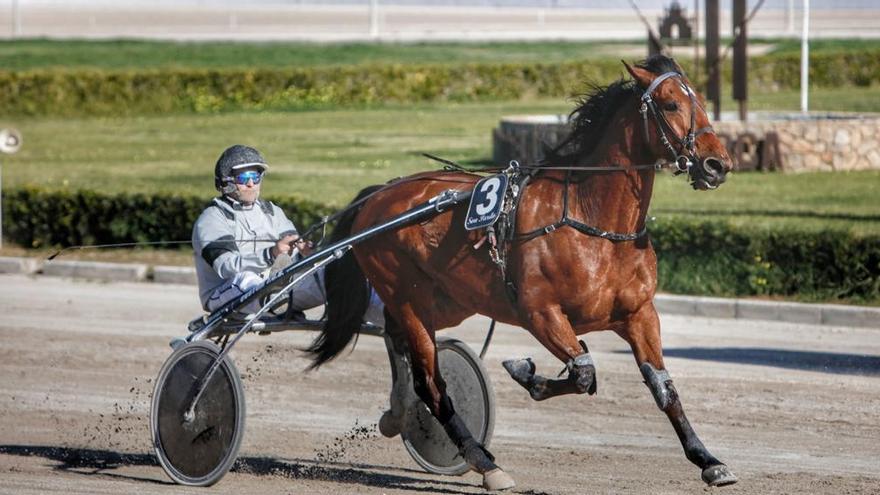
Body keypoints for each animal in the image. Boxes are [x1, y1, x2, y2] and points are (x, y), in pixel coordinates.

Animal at [308, 55, 736, 492]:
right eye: (671, 104)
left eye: (702, 102)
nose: (717, 164)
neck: (593, 222)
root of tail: (376, 197)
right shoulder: (540, 312)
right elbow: (583, 372)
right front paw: (527, 373)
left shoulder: (639, 314)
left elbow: (662, 386)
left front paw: (708, 460)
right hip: (407, 294)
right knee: (430, 382)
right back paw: (483, 461)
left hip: (447, 300)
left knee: (396, 338)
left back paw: (399, 413)